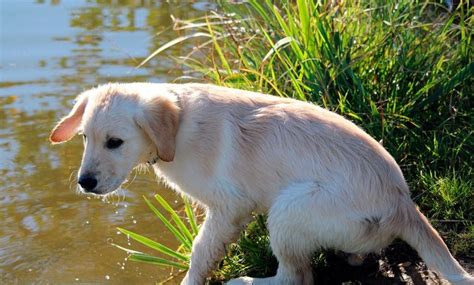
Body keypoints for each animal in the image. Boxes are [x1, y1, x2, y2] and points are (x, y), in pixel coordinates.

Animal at [50, 82, 472, 284]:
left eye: (115, 142)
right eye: (85, 137)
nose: (85, 183)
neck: (180, 127)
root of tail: (402, 203)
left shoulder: (230, 208)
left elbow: (201, 251)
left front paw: (190, 280)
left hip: (288, 210)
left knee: (296, 277)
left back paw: (247, 282)